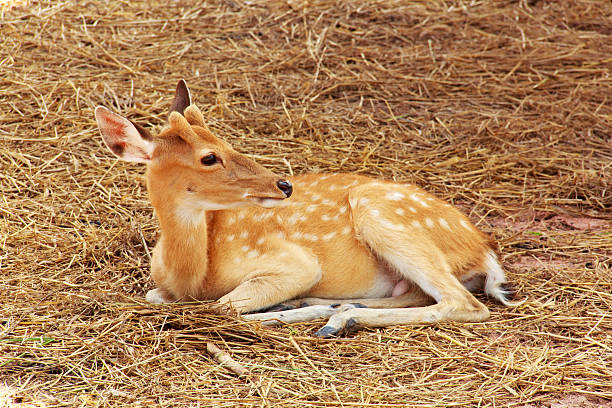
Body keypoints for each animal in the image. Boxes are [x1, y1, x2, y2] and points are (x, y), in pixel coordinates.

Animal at [95, 80, 520, 338]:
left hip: (382, 215)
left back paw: (337, 318)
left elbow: (225, 306)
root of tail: (484, 249)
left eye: (226, 141)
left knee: (463, 303)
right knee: (421, 294)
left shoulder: (295, 262)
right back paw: (331, 305)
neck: (191, 277)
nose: (283, 184)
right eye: (209, 157)